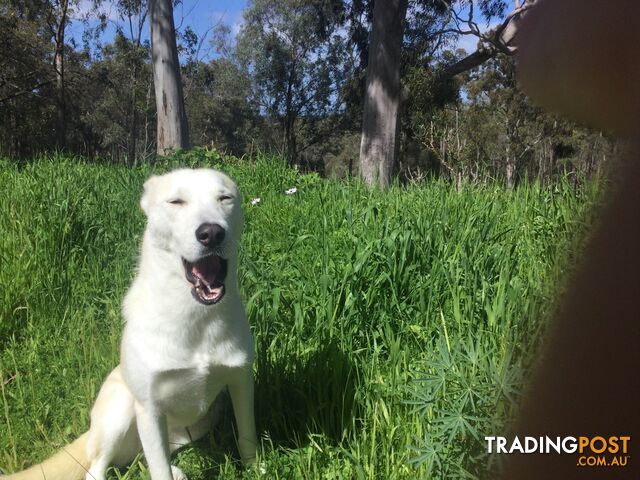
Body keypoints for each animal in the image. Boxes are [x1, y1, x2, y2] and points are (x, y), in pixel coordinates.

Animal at [4, 169, 258, 480]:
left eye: (225, 198)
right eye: (176, 201)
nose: (211, 233)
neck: (195, 317)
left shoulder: (241, 382)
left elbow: (247, 437)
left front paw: (258, 470)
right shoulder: (149, 408)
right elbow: (159, 470)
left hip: (200, 422)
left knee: (144, 458)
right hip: (122, 409)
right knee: (99, 468)